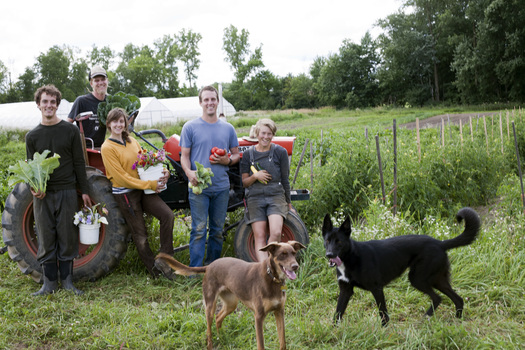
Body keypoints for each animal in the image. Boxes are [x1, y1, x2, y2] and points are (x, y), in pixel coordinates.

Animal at [154, 241, 304, 350]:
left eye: (293, 253)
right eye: (283, 254)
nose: (295, 266)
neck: (272, 277)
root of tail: (209, 266)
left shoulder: (279, 312)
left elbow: (282, 341)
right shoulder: (259, 316)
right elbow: (261, 344)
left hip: (231, 303)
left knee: (218, 318)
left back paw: (221, 337)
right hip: (210, 304)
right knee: (209, 328)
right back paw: (212, 344)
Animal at [320, 208, 478, 326]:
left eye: (339, 242)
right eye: (327, 241)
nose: (329, 255)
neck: (351, 257)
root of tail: (440, 243)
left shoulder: (376, 289)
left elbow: (383, 313)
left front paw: (384, 332)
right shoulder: (345, 290)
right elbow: (337, 313)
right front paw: (333, 332)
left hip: (417, 278)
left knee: (438, 298)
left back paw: (426, 319)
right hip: (437, 280)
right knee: (457, 299)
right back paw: (457, 321)